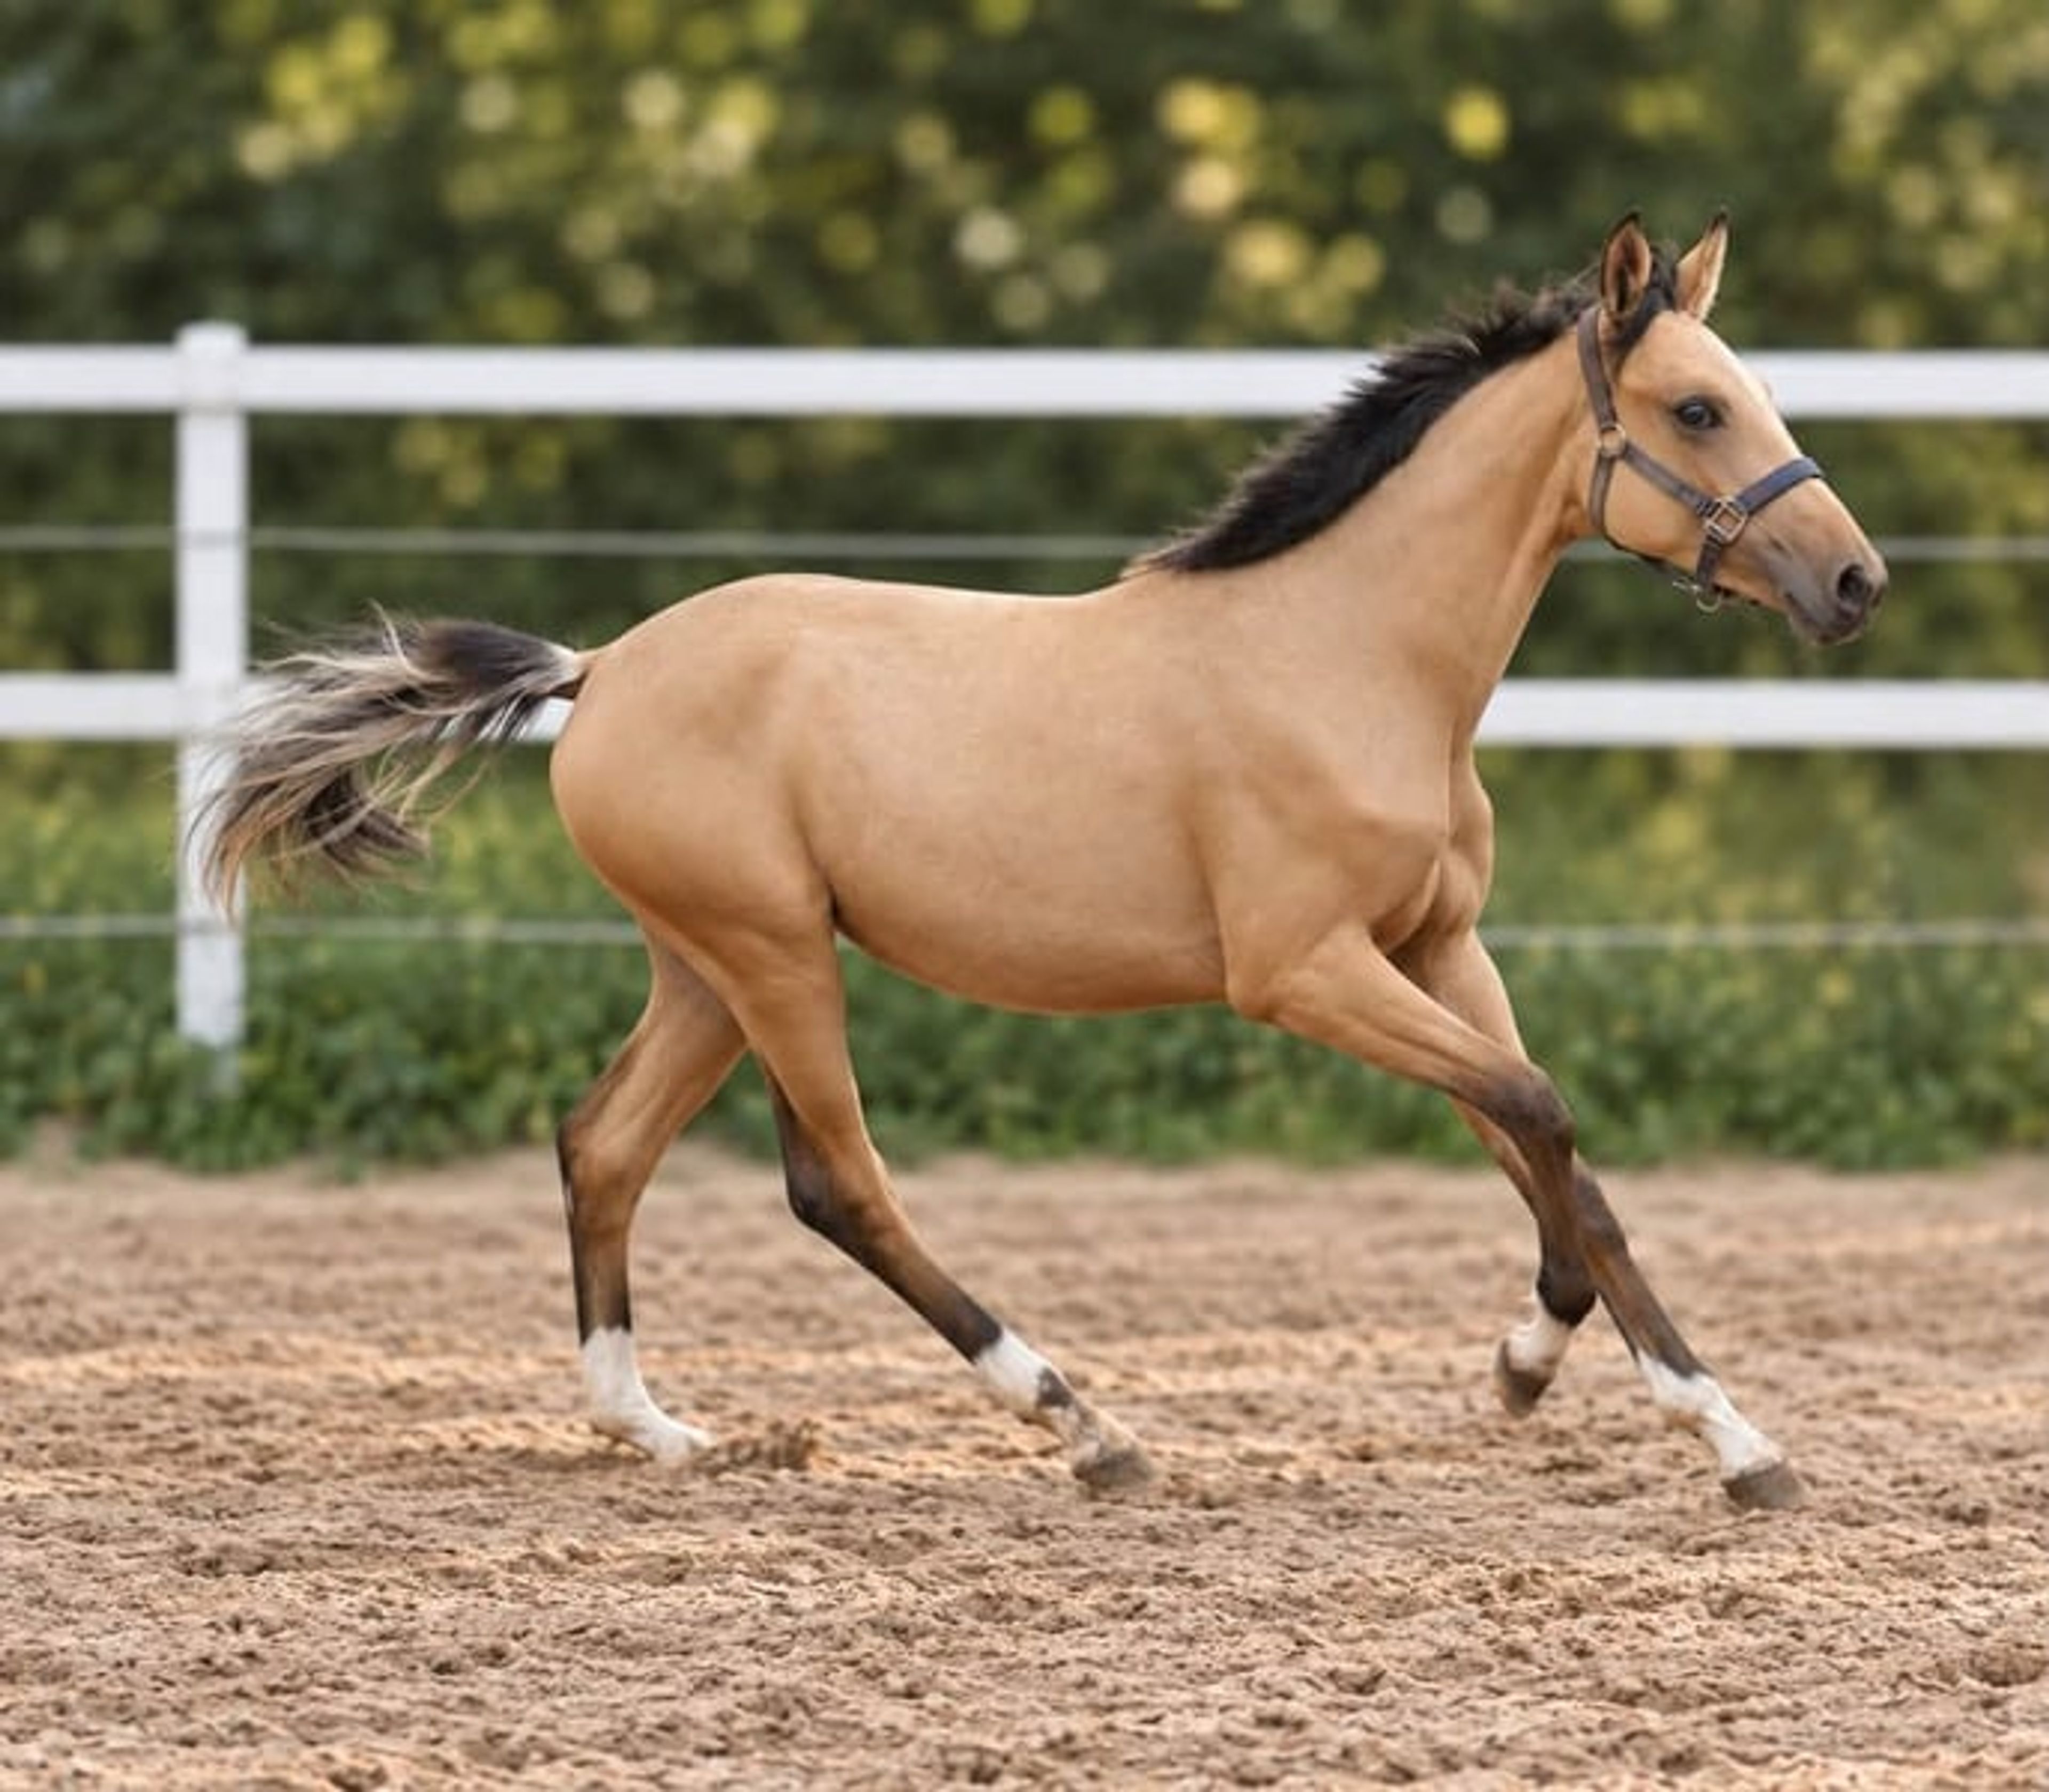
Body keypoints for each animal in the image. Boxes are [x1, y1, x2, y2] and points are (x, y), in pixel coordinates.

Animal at [202, 214, 1884, 1510]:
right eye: (1694, 411)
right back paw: (1086, 1426)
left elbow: (1552, 1147)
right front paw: (1688, 1425)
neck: (1342, 656)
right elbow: (1538, 1111)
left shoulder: (1434, 947)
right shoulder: (1302, 972)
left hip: (702, 965)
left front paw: (1595, 1391)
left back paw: (663, 1429)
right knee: (838, 1181)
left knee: (603, 1145)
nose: (1855, 582)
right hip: (771, 952)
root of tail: (600, 669)